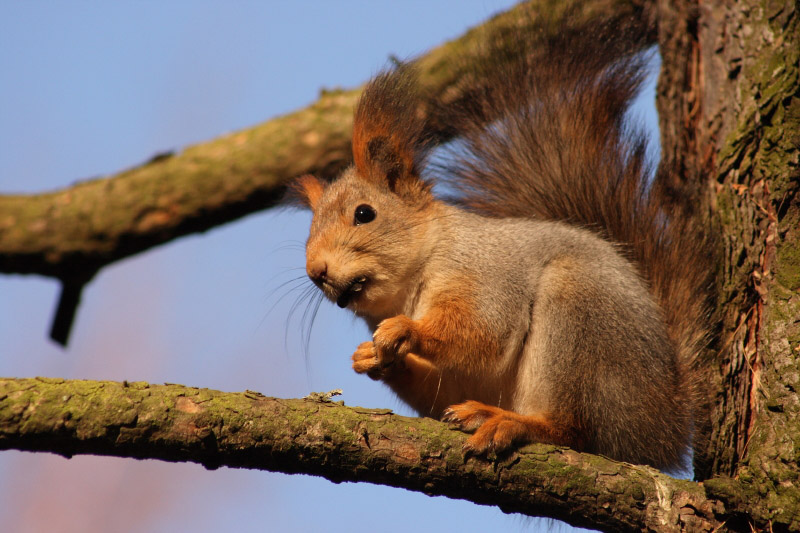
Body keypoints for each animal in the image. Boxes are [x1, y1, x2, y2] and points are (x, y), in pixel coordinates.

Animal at [292, 19, 712, 470]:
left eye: (364, 213)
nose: (316, 272)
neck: (415, 279)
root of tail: (664, 429)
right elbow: (443, 389)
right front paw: (371, 357)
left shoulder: (485, 274)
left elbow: (483, 334)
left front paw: (408, 331)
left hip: (580, 322)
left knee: (575, 431)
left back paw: (512, 422)